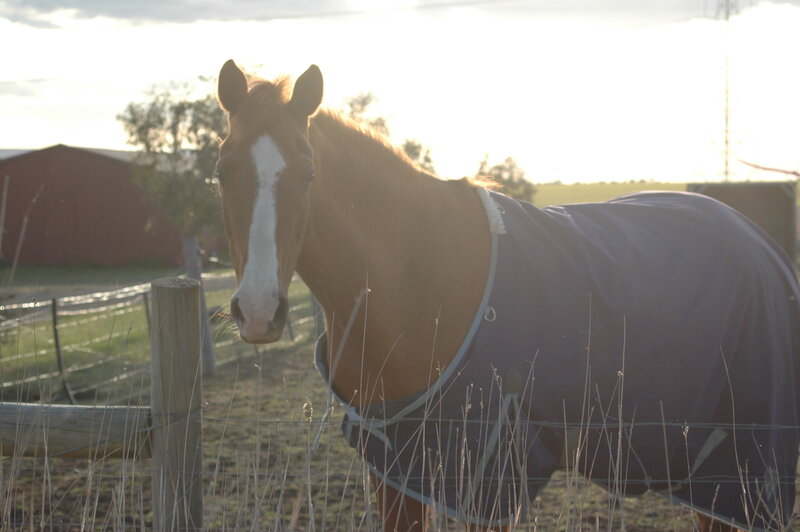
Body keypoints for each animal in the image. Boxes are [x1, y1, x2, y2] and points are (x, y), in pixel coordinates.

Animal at [214, 59, 800, 532]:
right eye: (221, 172)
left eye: (308, 174)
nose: (259, 311)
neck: (413, 275)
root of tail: (763, 244)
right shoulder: (395, 465)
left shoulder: (485, 476)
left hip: (743, 472)